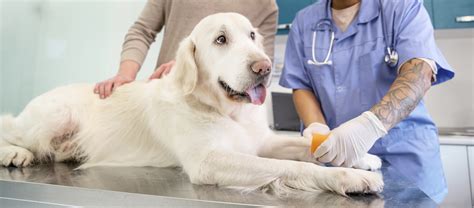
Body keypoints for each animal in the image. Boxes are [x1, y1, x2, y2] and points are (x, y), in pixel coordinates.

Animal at [0, 13, 384, 197]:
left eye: (252, 35)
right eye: (221, 40)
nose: (263, 68)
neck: (221, 108)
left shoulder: (260, 141)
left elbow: (306, 145)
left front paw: (358, 155)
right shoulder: (209, 161)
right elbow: (293, 167)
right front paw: (350, 177)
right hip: (54, 116)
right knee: (11, 129)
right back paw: (15, 153)